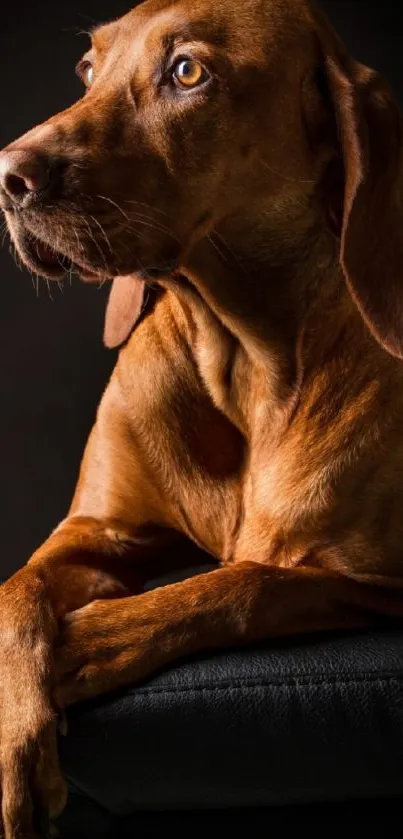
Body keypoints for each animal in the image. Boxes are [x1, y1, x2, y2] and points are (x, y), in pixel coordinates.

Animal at [0, 0, 403, 836]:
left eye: (188, 71)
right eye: (88, 68)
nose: (8, 177)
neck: (242, 355)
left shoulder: (373, 580)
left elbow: (244, 583)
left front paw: (87, 641)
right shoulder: (95, 531)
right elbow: (14, 591)